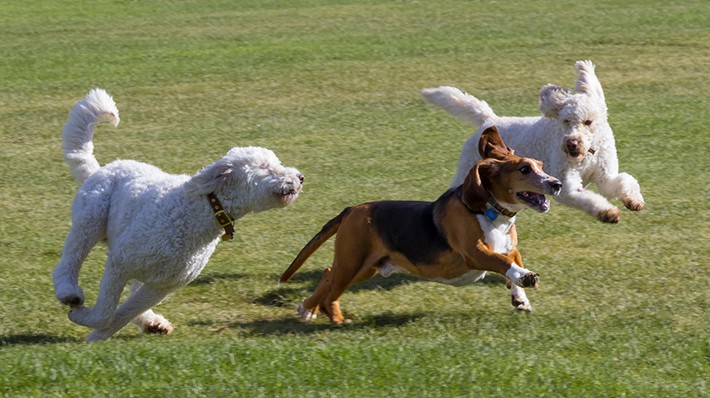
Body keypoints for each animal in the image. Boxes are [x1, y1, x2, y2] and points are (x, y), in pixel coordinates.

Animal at [52, 88, 304, 340]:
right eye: (264, 167)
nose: (300, 177)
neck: (200, 213)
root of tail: (101, 169)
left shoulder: (162, 286)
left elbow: (119, 316)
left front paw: (95, 338)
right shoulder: (120, 262)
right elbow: (106, 312)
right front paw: (81, 318)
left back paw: (152, 323)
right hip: (90, 219)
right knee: (69, 260)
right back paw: (69, 292)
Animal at [280, 126, 564, 324]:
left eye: (540, 166)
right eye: (525, 169)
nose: (557, 184)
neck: (493, 213)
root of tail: (353, 209)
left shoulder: (508, 246)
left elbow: (513, 258)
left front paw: (520, 296)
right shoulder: (474, 253)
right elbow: (503, 262)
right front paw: (525, 277)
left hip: (366, 267)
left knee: (329, 274)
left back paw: (308, 308)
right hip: (353, 262)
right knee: (332, 285)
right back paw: (336, 319)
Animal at [426, 61, 648, 224]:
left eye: (588, 122)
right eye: (565, 121)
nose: (571, 143)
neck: (587, 155)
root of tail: (489, 121)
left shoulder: (604, 176)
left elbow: (624, 181)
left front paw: (634, 200)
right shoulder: (566, 185)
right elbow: (587, 198)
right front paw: (608, 212)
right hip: (468, 170)